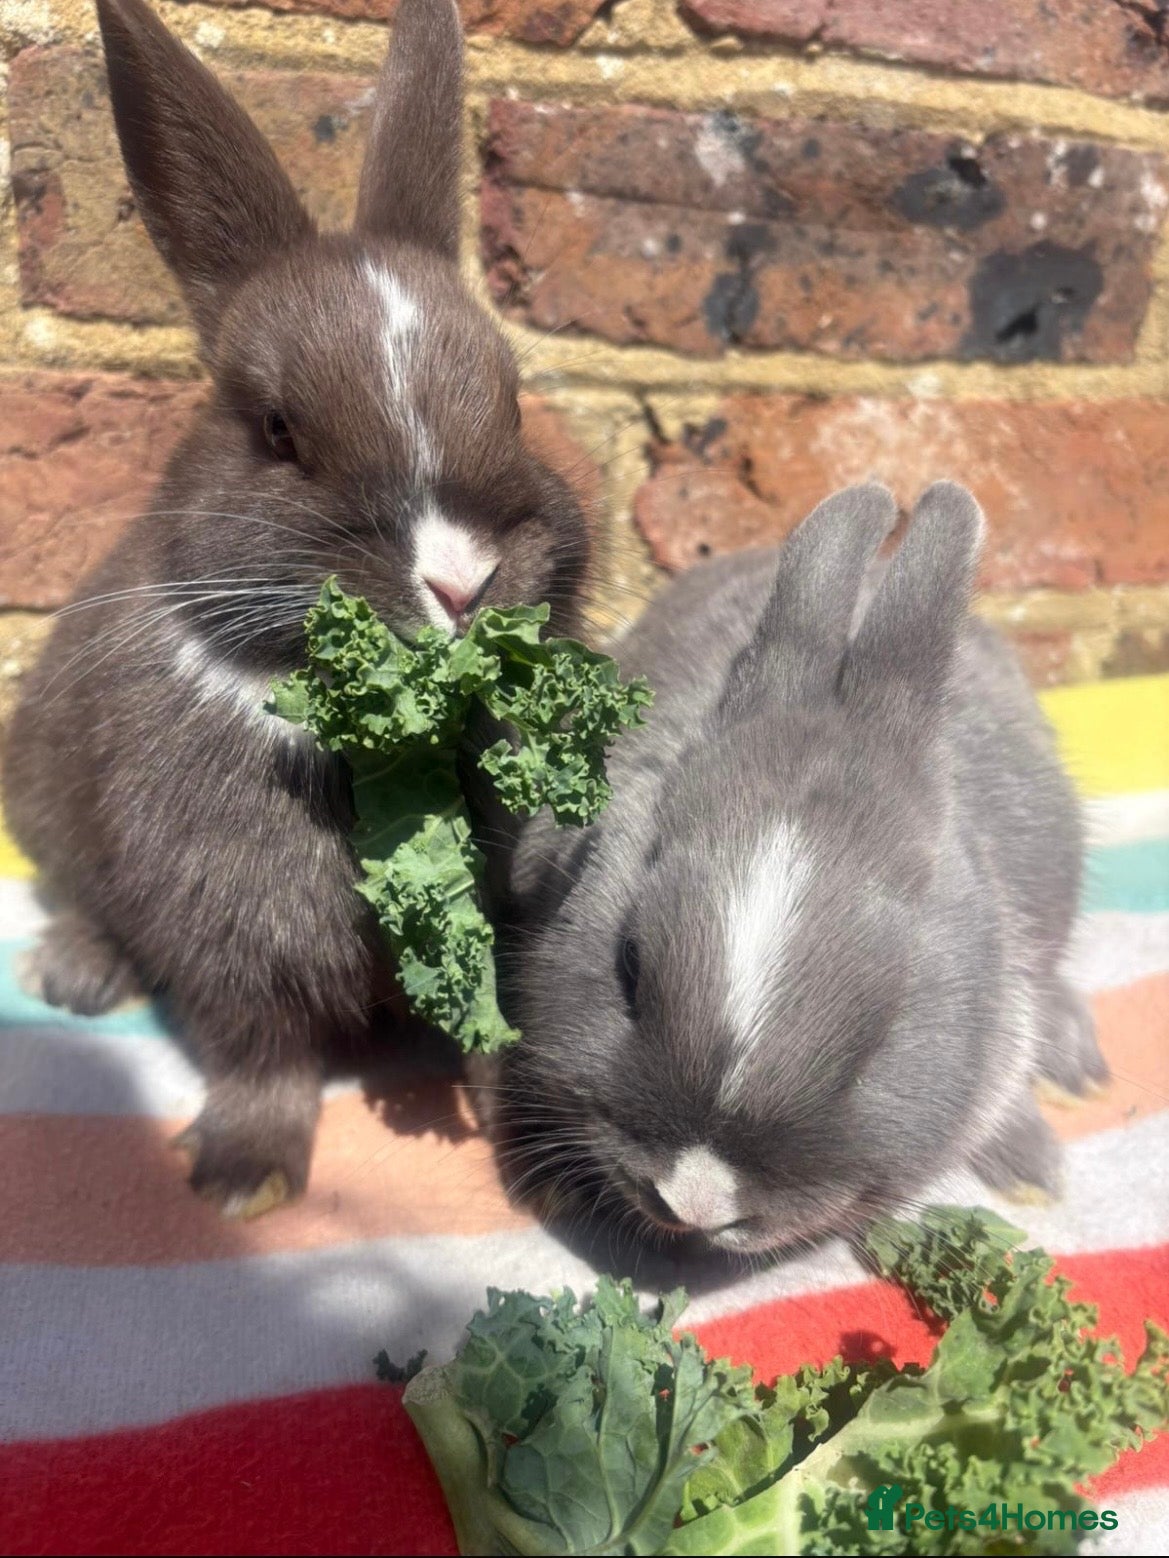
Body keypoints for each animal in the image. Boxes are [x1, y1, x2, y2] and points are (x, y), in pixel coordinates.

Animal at [1, 0, 589, 1217]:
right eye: (277, 430)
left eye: (514, 404)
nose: (460, 580)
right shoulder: (230, 948)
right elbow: (259, 1053)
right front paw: (244, 1179)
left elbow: (492, 1043)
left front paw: (545, 1180)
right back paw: (78, 972)